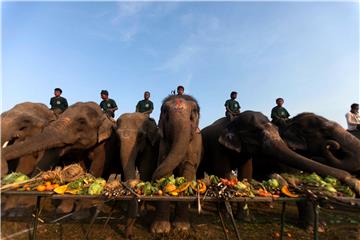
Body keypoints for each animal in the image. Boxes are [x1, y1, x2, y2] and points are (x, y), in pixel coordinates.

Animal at [150, 94, 202, 233]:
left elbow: (188, 172)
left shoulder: (194, 144)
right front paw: (160, 231)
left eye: (193, 113)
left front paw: (182, 228)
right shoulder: (164, 143)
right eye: (165, 113)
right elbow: (165, 168)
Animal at [198, 110, 360, 227]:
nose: (351, 179)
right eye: (324, 131)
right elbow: (224, 172)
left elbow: (247, 175)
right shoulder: (218, 146)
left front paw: (246, 219)